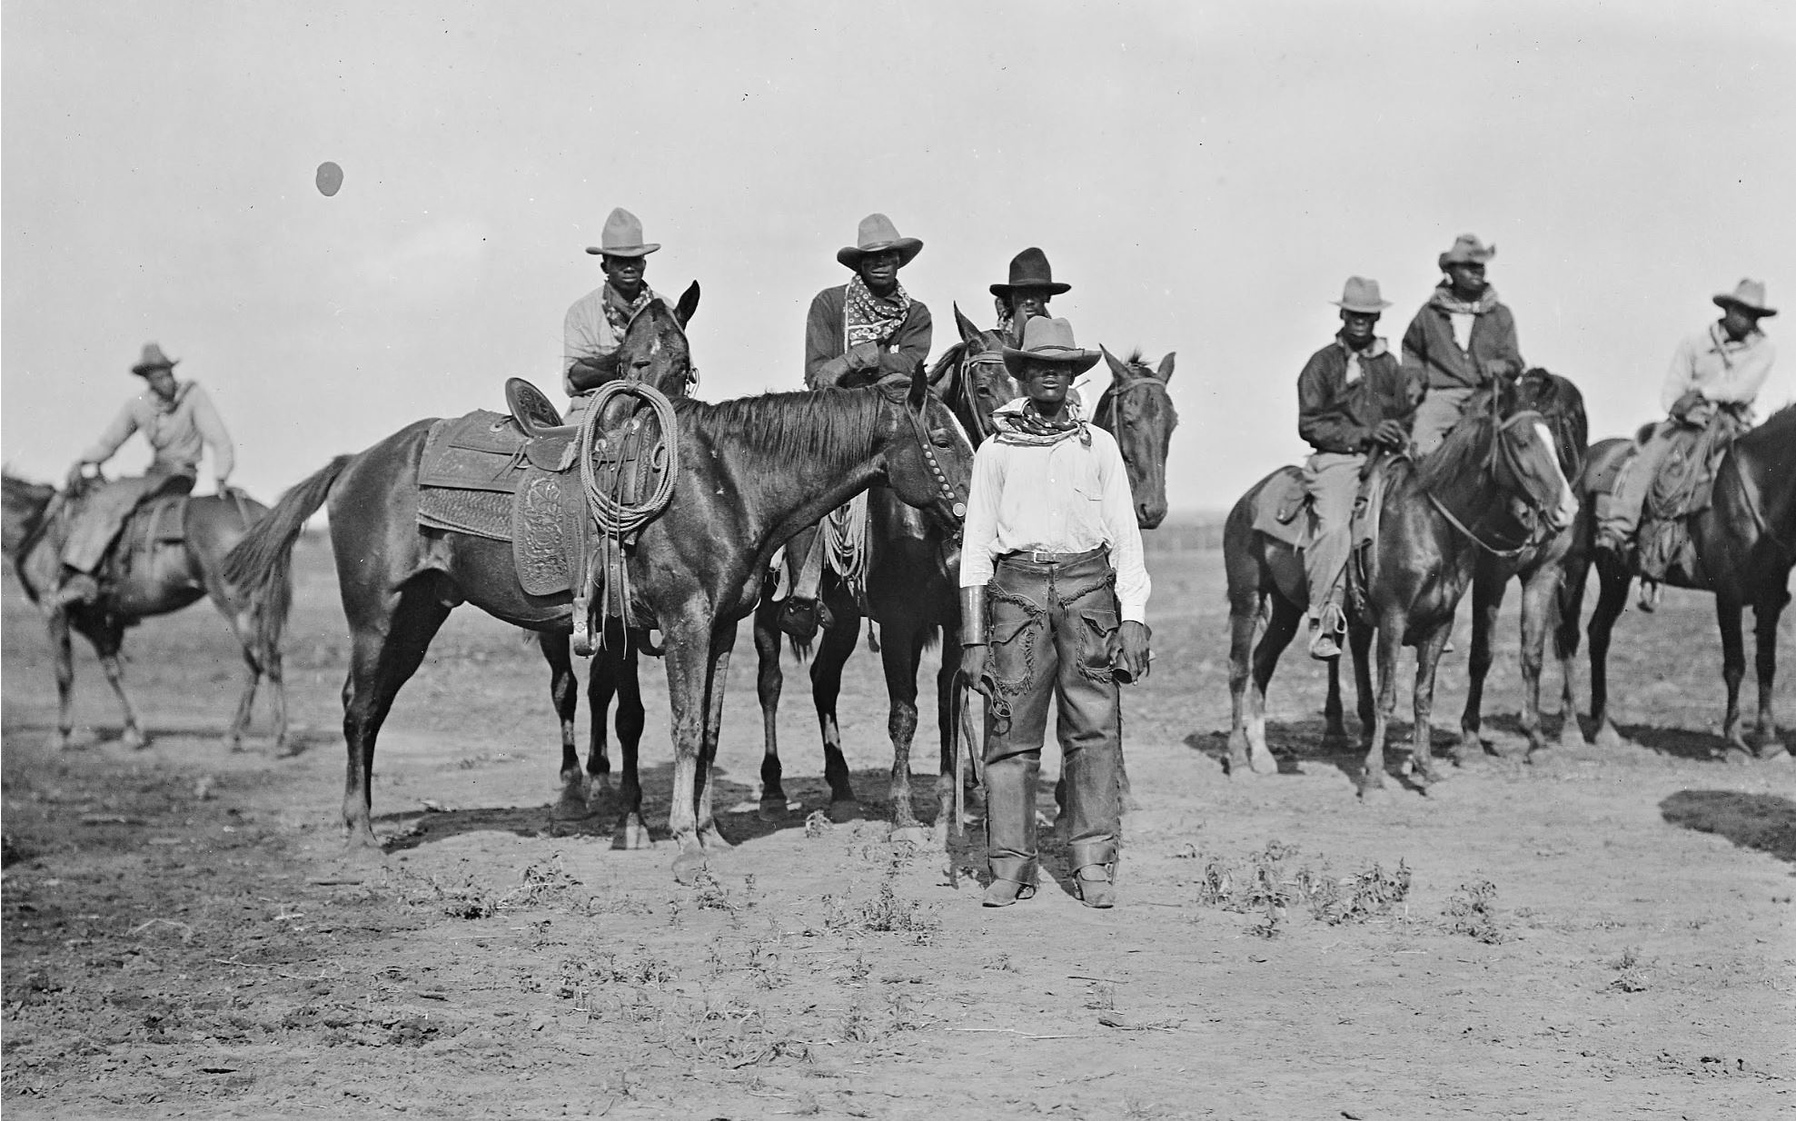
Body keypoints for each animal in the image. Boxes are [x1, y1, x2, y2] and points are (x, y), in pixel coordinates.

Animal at [2, 474, 290, 754]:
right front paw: (134, 732)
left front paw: (61, 735)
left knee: (266, 658)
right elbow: (112, 671)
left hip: (237, 605)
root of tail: (258, 513)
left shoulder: (54, 610)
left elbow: (64, 674)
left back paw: (277, 740)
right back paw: (235, 736)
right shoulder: (94, 620)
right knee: (256, 661)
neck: (41, 528)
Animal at [228, 352, 984, 883]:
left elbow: (708, 729)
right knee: (359, 711)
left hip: (418, 616)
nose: (976, 516)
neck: (724, 481)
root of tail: (356, 462)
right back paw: (361, 836)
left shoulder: (725, 628)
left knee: (373, 709)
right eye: (944, 440)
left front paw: (708, 832)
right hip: (376, 620)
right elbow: (682, 729)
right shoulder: (685, 623)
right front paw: (683, 846)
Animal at [1558, 398, 1796, 758]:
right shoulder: (1728, 595)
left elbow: (1766, 664)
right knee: (1569, 636)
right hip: (1576, 564)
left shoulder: (1769, 599)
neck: (1757, 491)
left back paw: (1605, 729)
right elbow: (1735, 665)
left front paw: (1769, 742)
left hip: (1615, 573)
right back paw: (1571, 728)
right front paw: (1734, 741)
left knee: (1598, 634)